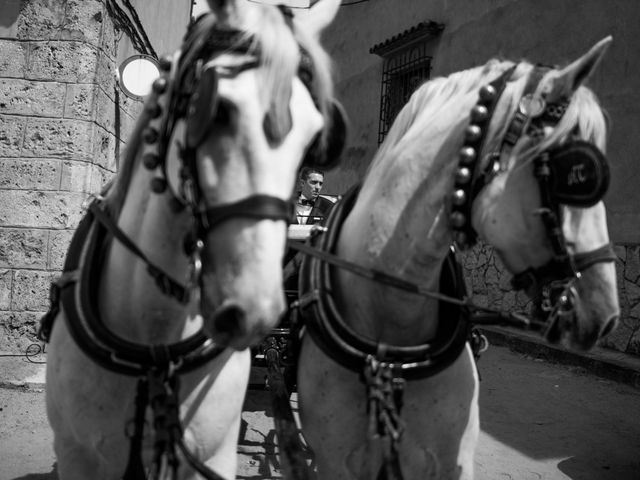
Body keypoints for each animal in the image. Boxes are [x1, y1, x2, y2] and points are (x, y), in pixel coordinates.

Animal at [44, 0, 342, 480]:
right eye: (215, 109)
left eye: (315, 134)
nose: (252, 308)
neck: (155, 346)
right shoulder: (79, 455)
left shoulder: (212, 455)